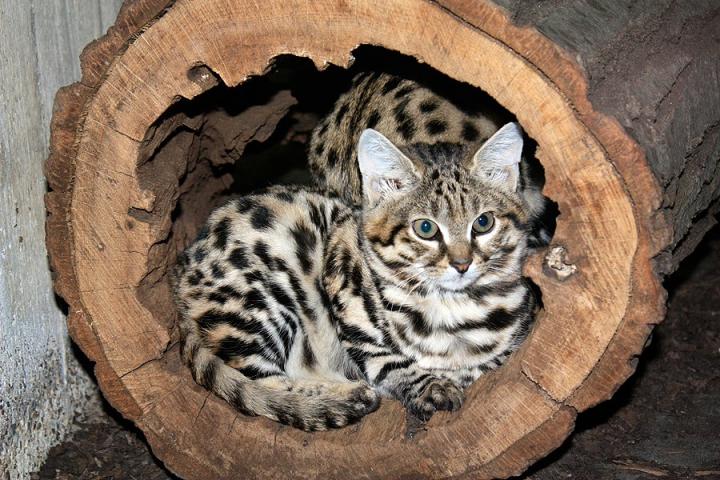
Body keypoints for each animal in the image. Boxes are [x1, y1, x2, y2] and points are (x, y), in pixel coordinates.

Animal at [173, 124, 536, 432]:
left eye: (484, 222)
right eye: (425, 228)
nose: (462, 264)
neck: (452, 307)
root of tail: (180, 275)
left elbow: (488, 360)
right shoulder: (342, 271)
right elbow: (387, 359)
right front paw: (431, 386)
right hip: (257, 296)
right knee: (263, 383)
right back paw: (337, 397)